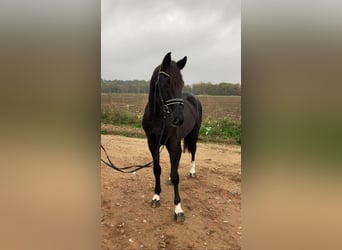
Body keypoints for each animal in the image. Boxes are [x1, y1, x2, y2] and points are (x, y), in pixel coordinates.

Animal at [142, 52, 202, 223]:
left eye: (181, 83)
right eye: (166, 83)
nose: (178, 119)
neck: (159, 117)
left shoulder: (173, 143)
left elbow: (176, 176)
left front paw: (178, 210)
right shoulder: (152, 143)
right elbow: (157, 169)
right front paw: (156, 197)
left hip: (194, 134)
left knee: (193, 151)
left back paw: (192, 172)